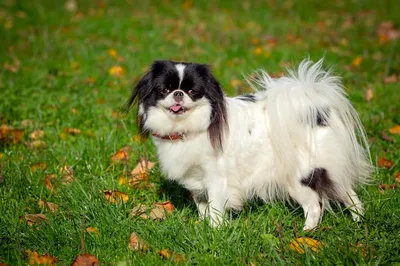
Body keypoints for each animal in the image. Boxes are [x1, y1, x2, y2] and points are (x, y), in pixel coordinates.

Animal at [125, 59, 372, 230]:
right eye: (164, 90)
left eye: (193, 92)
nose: (178, 94)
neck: (187, 129)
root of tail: (317, 112)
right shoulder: (197, 183)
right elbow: (203, 208)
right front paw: (203, 229)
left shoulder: (216, 180)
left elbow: (215, 209)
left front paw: (215, 231)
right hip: (330, 171)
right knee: (349, 194)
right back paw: (358, 221)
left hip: (299, 177)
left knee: (314, 205)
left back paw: (306, 234)